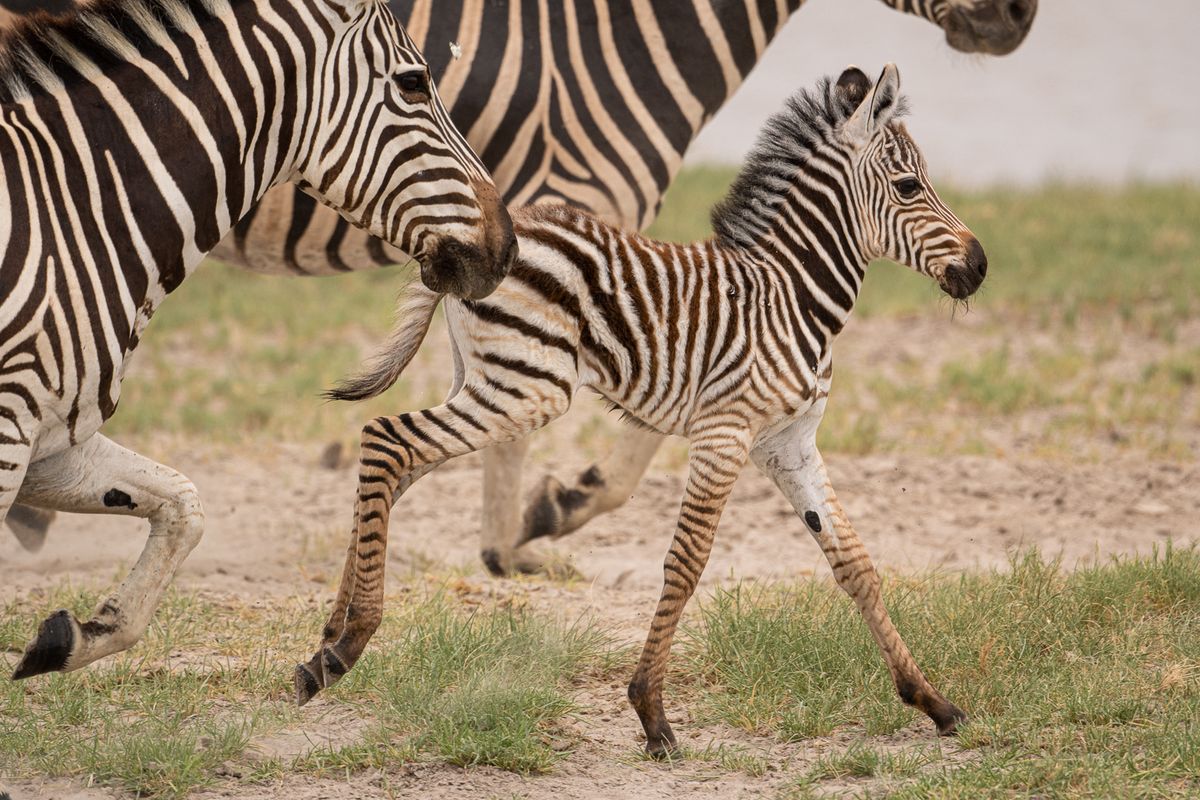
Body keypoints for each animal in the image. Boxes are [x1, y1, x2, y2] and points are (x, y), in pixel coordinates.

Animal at [0, 0, 1036, 573]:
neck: (621, 36)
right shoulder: (588, 204)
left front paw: (525, 526)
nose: (1017, 21)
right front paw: (531, 526)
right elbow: (627, 421)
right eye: (908, 184)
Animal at [297, 64, 984, 758]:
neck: (792, 296)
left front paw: (932, 702)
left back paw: (326, 645)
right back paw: (350, 640)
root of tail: (472, 238)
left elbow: (856, 565)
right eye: (908, 186)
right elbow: (686, 563)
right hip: (528, 386)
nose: (979, 266)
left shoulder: (790, 443)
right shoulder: (725, 434)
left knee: (393, 464)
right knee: (388, 440)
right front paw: (651, 712)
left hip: (488, 379)